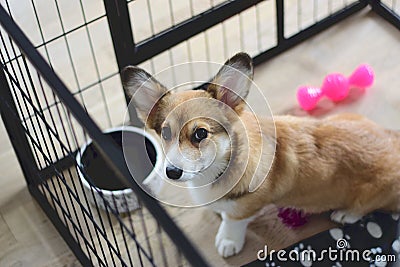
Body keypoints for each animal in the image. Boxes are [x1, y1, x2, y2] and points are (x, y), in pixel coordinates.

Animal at [121, 52, 400, 260]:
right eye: (165, 132)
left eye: (200, 133)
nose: (172, 172)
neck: (218, 167)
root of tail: (393, 139)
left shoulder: (245, 209)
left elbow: (232, 223)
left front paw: (228, 241)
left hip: (376, 192)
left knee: (365, 207)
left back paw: (345, 214)